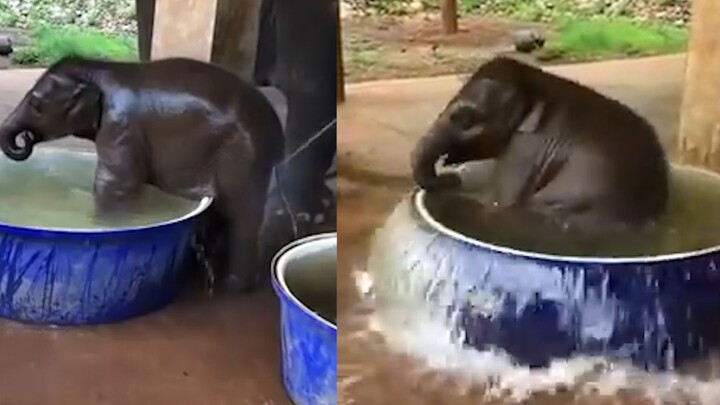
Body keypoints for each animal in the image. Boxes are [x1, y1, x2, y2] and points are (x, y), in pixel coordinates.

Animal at [0, 56, 286, 293]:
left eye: (36, 104)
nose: (25, 138)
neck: (99, 68)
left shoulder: (120, 126)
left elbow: (113, 184)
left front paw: (107, 226)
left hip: (243, 157)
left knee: (241, 216)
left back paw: (231, 286)